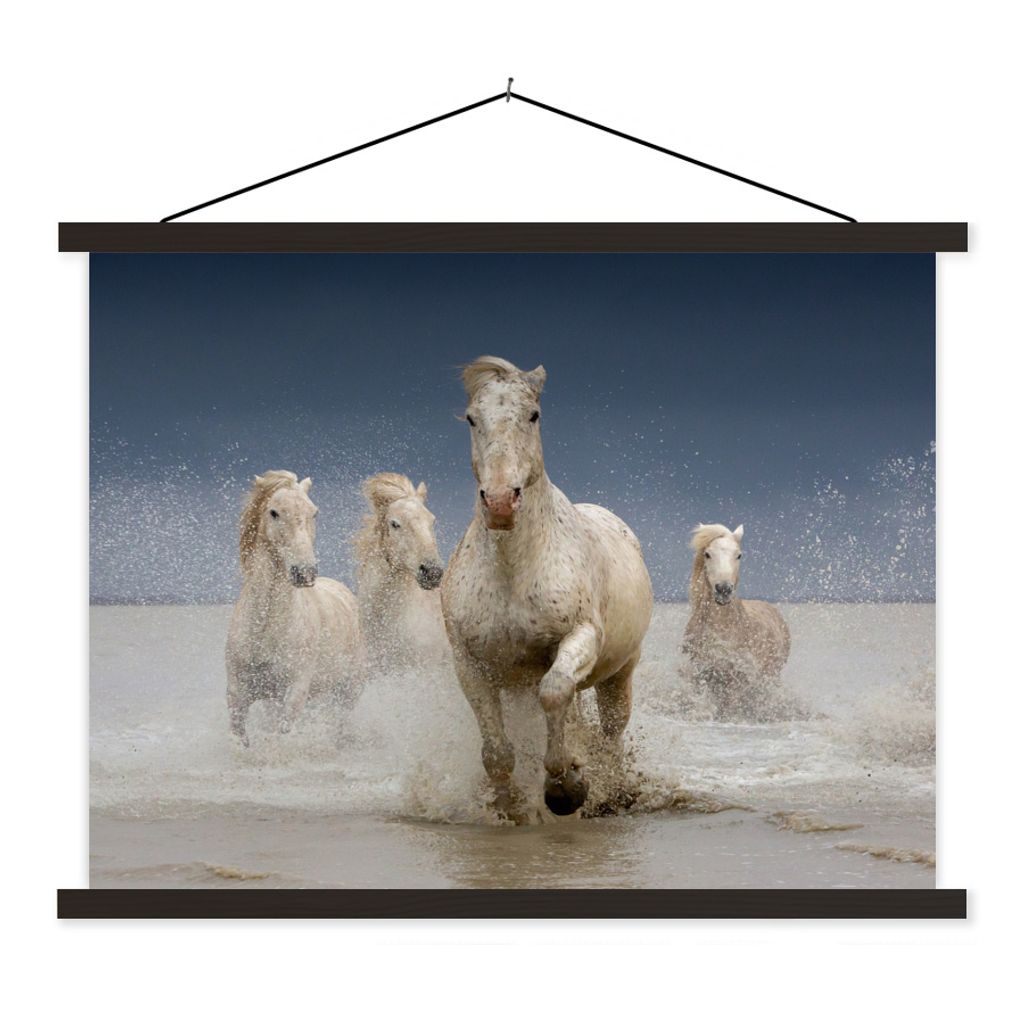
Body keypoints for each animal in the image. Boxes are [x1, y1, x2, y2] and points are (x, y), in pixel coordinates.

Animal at [225, 471, 362, 744]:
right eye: (274, 512)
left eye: (314, 512)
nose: (305, 572)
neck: (265, 630)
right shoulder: (238, 694)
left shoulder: (295, 691)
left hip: (348, 691)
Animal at [441, 356, 654, 818]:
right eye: (472, 418)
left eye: (533, 415)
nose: (501, 503)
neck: (513, 571)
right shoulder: (471, 664)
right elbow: (497, 752)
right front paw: (510, 807)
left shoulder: (579, 636)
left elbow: (555, 693)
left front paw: (565, 788)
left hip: (620, 672)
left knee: (610, 731)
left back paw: (610, 792)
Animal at [682, 523, 793, 720]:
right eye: (707, 554)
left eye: (739, 555)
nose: (723, 589)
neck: (724, 629)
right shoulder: (701, 674)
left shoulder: (736, 681)